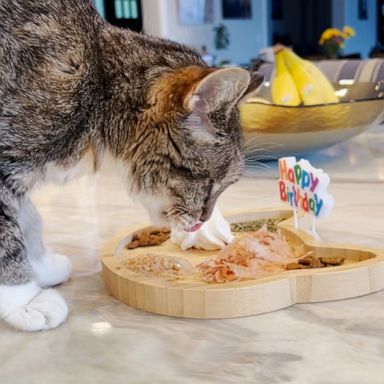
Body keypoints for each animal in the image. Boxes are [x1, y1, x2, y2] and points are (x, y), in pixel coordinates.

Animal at [0, 0, 260, 330]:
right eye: (211, 182)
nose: (203, 220)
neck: (96, 87)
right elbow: (9, 235)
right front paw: (25, 298)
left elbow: (30, 219)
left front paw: (40, 267)